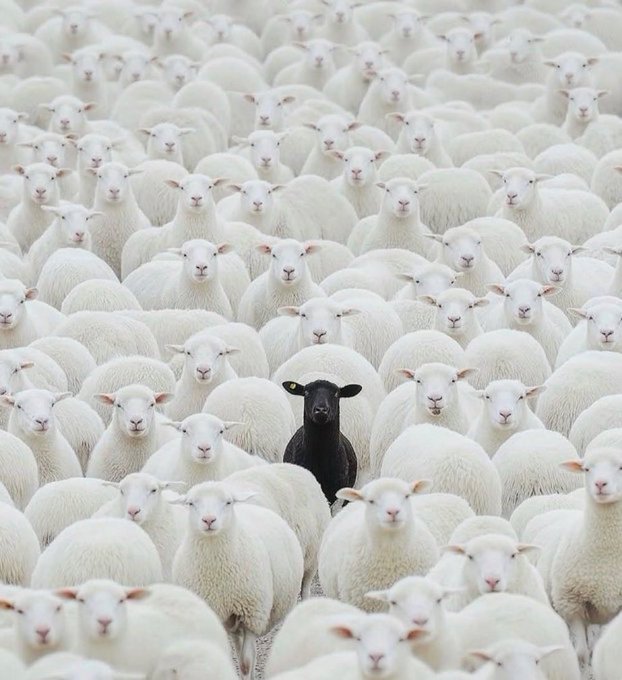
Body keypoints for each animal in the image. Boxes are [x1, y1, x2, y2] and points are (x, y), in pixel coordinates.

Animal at [172, 481, 304, 679]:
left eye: (228, 502)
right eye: (191, 503)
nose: (209, 520)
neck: (217, 575)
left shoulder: (252, 615)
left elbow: (246, 662)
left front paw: (247, 673)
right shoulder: (217, 615)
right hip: (231, 620)